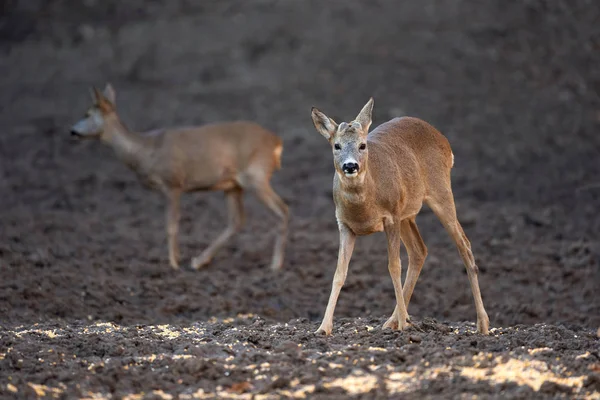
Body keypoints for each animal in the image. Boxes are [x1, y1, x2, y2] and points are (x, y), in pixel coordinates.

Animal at [69, 84, 290, 272]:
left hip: (256, 176)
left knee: (282, 209)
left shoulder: (172, 183)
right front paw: (180, 259)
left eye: (87, 114)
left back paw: (275, 266)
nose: (72, 131)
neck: (144, 150)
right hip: (233, 185)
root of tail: (276, 142)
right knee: (237, 221)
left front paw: (173, 264)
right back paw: (198, 261)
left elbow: (171, 225)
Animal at [312, 98, 490, 336]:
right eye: (336, 146)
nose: (350, 165)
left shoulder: (391, 217)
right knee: (419, 250)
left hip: (440, 193)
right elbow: (339, 273)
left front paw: (405, 325)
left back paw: (482, 324)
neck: (364, 205)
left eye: (362, 145)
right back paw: (392, 321)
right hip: (407, 214)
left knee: (465, 245)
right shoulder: (345, 225)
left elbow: (394, 266)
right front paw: (323, 328)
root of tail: (443, 139)